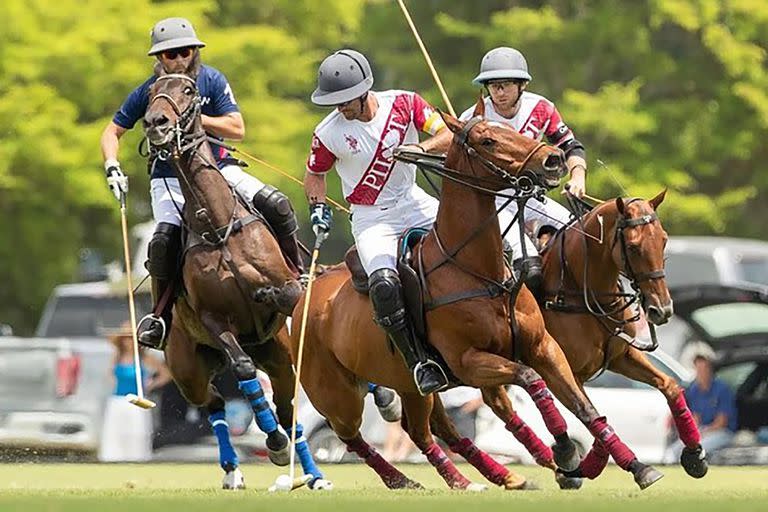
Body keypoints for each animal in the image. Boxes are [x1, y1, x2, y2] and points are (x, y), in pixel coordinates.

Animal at [144, 72, 330, 488]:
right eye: (149, 93)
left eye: (189, 91)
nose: (156, 123)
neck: (217, 226)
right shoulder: (214, 319)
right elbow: (243, 370)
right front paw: (273, 442)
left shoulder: (284, 289)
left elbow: (288, 292)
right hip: (188, 368)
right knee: (215, 402)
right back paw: (235, 469)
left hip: (278, 352)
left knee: (287, 405)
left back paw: (313, 474)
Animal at [292, 99, 664, 488]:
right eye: (487, 141)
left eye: (664, 243)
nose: (552, 160)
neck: (480, 272)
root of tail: (308, 289)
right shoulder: (469, 362)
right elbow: (531, 379)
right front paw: (566, 453)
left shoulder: (544, 347)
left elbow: (585, 406)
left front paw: (636, 467)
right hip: (335, 391)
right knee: (351, 436)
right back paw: (404, 479)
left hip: (407, 383)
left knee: (425, 430)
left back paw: (485, 478)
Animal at [528, 194, 708, 482]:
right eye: (633, 247)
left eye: (664, 239)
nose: (662, 310)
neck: (580, 291)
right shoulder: (565, 370)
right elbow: (590, 412)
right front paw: (629, 466)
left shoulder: (621, 356)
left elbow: (668, 384)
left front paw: (695, 455)